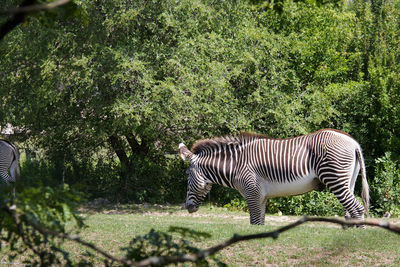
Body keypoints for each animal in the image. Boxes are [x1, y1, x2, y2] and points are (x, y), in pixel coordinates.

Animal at [180, 130, 370, 226]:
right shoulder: (261, 196)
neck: (236, 165)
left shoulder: (252, 193)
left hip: (334, 178)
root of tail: (353, 142)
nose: (187, 207)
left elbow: (254, 222)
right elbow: (260, 222)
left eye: (187, 175)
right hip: (348, 181)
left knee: (357, 208)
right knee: (350, 210)